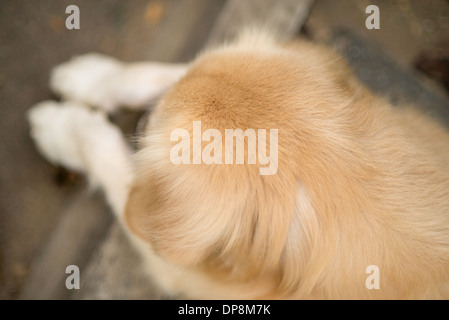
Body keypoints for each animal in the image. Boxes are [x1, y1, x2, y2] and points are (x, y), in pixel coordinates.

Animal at [27, 30, 448, 300]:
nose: (142, 122)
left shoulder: (180, 265)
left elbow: (104, 151)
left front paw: (60, 128)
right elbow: (159, 71)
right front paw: (95, 77)